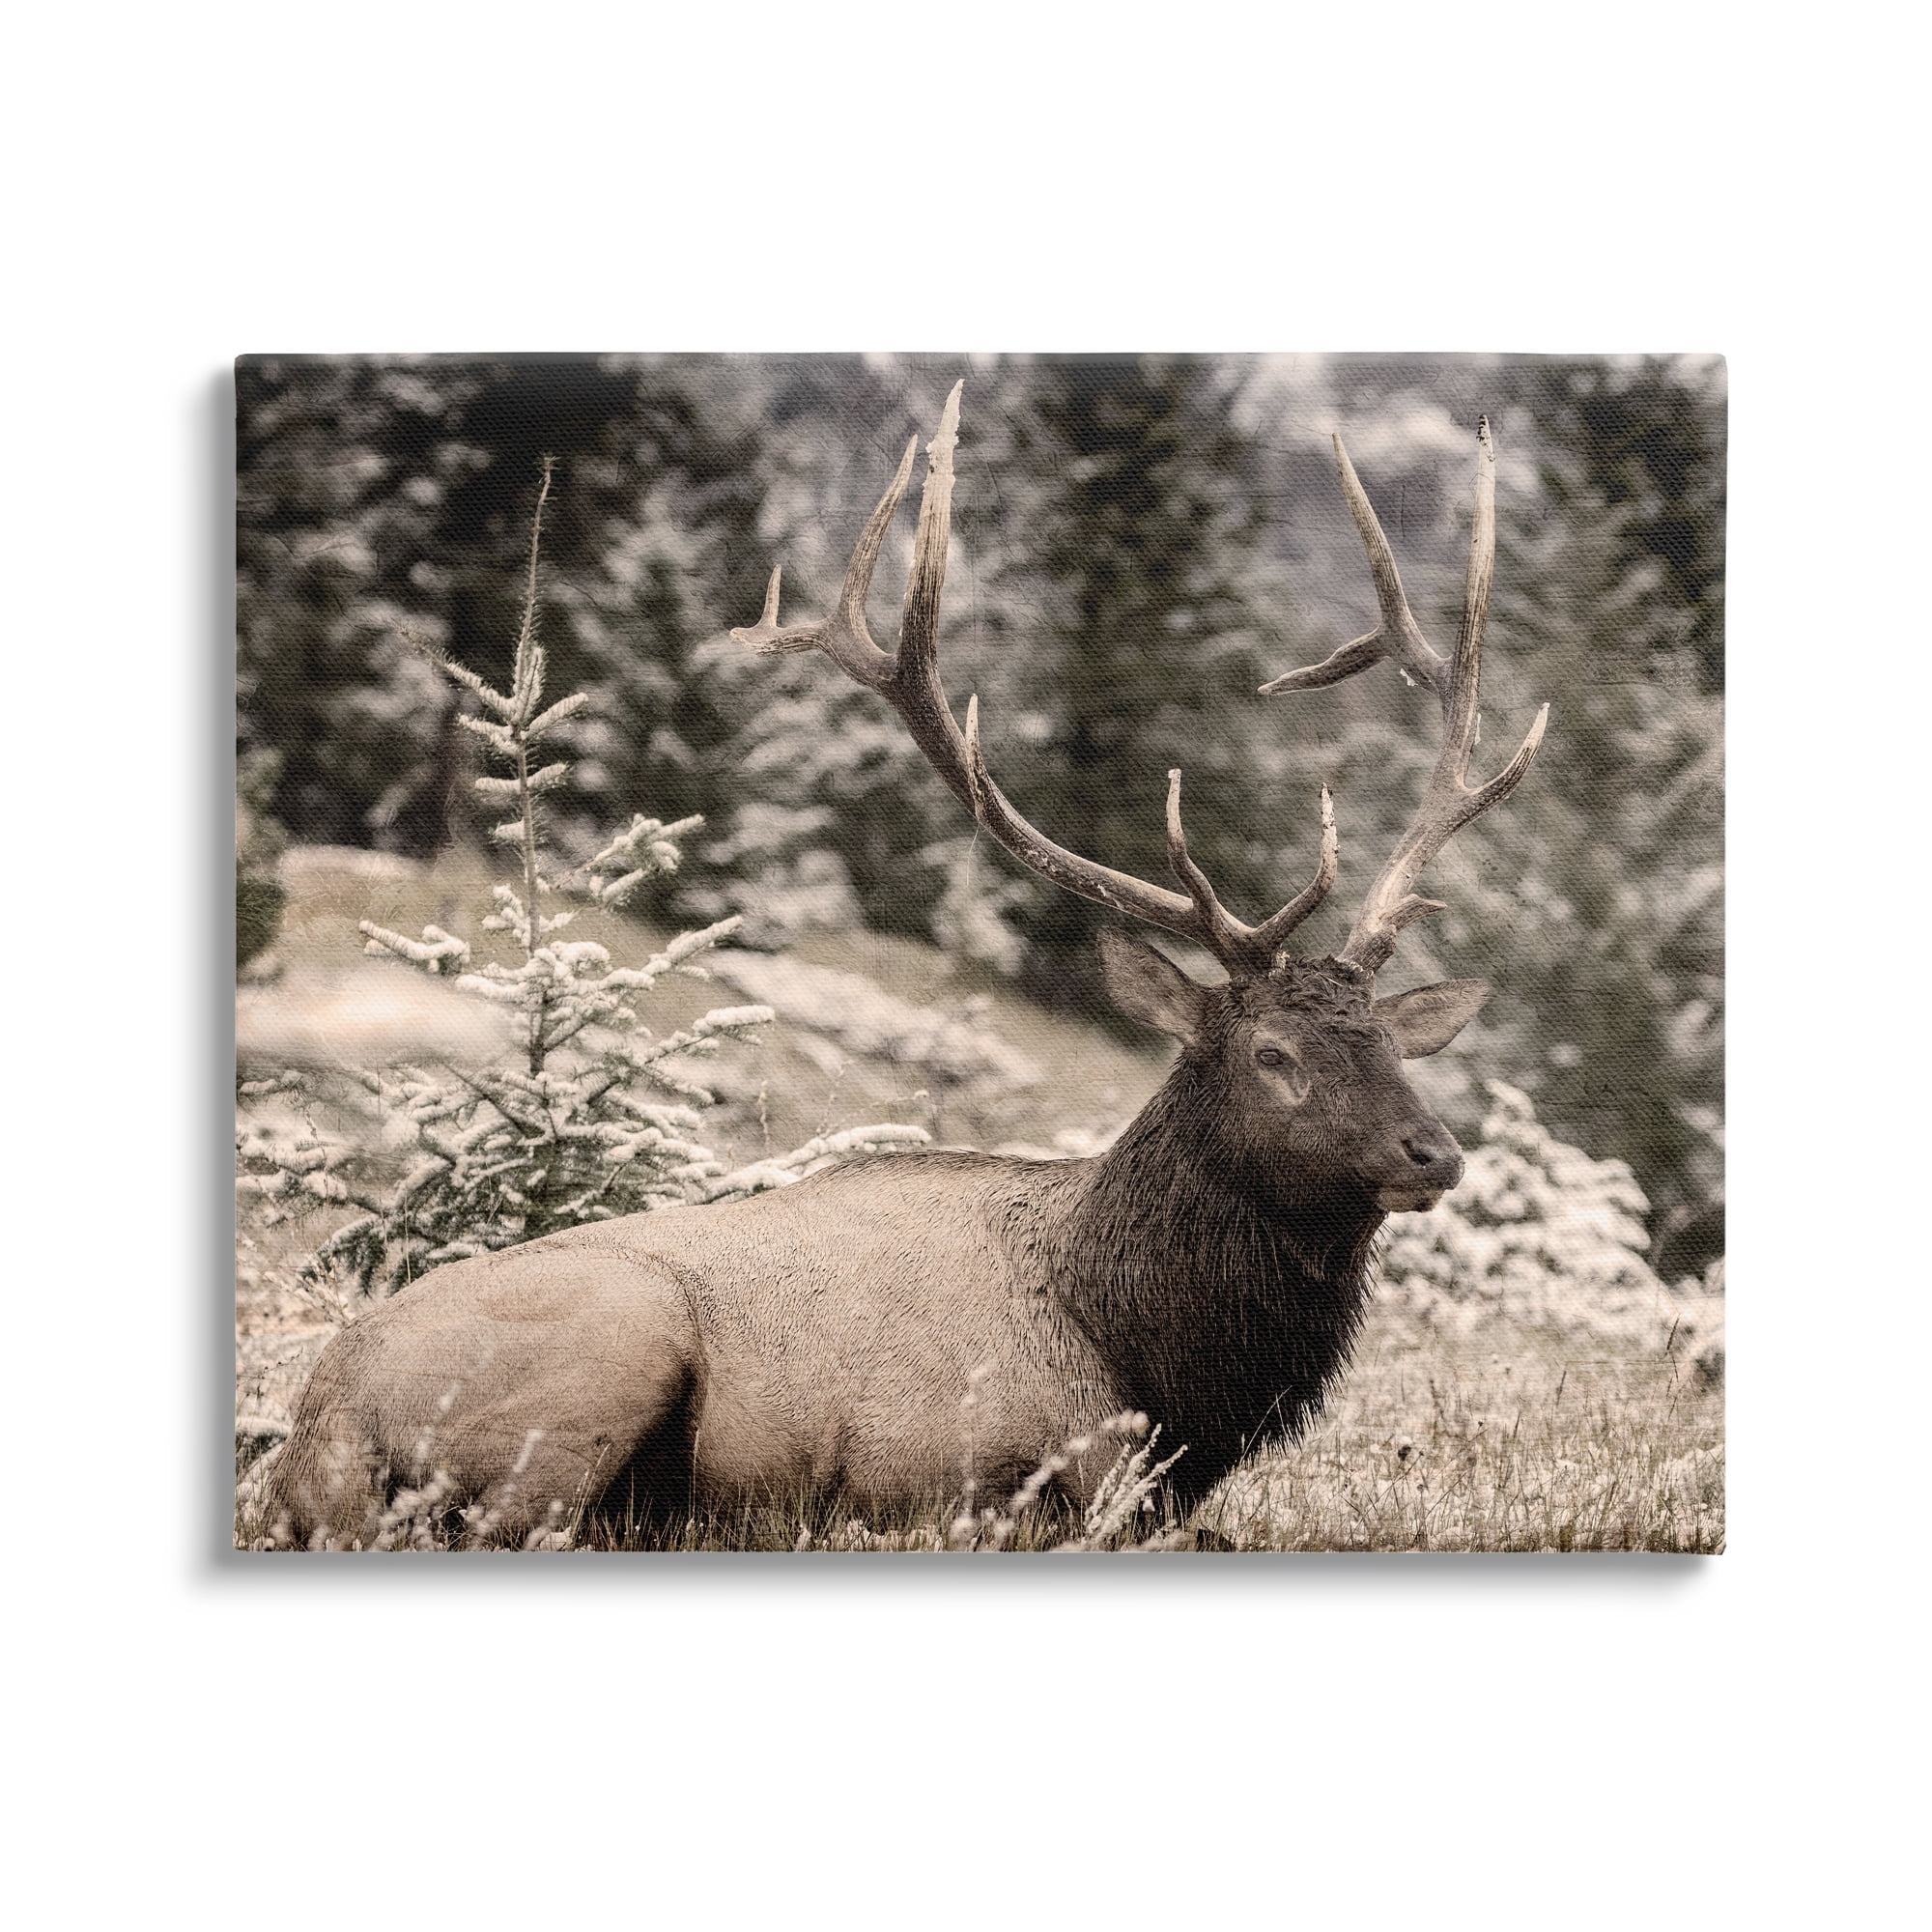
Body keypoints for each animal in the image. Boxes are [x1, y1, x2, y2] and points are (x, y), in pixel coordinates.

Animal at [261, 382, 1546, 1548]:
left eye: (1388, 1041)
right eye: (1272, 1052)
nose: (1431, 1150)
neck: (1154, 1363)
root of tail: (311, 1436)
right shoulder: (966, 1467)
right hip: (611, 1340)